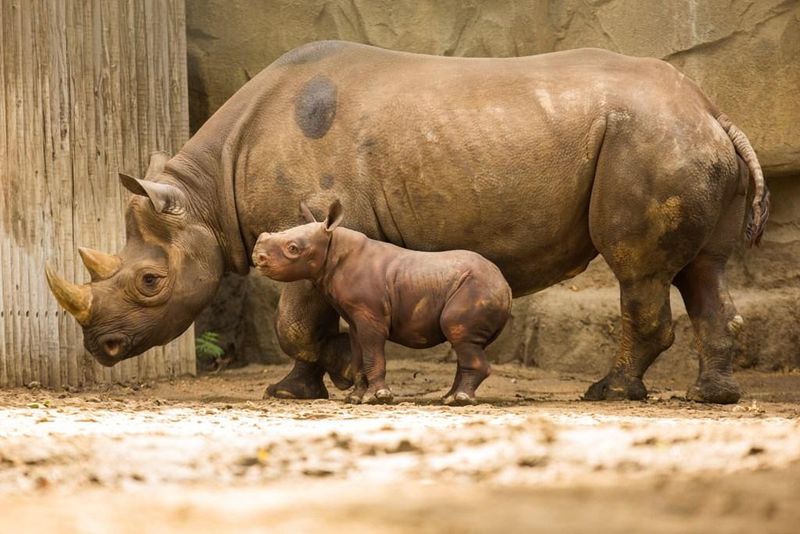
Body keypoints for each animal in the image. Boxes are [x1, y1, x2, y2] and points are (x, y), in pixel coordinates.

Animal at [46, 41, 769, 404]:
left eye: (149, 283)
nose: (99, 347)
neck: (204, 194)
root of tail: (714, 108)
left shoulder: (308, 223)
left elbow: (294, 320)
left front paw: (330, 377)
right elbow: (302, 322)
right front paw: (299, 389)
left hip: (649, 139)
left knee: (638, 272)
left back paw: (608, 393)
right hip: (677, 140)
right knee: (703, 271)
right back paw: (712, 397)